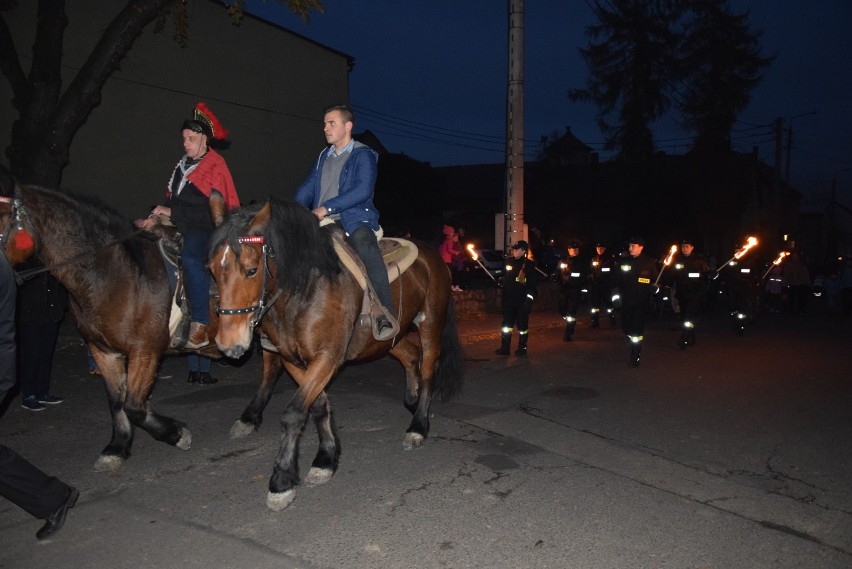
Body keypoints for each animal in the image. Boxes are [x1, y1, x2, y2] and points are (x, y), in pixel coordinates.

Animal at [1, 184, 191, 468]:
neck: (112, 274)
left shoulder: (146, 350)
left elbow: (135, 407)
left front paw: (176, 434)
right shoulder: (103, 351)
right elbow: (117, 401)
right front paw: (117, 446)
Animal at [211, 200, 466, 510]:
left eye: (251, 269)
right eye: (211, 269)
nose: (228, 343)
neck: (304, 291)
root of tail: (432, 254)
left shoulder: (327, 356)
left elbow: (294, 413)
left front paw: (282, 481)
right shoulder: (292, 358)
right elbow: (317, 405)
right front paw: (326, 458)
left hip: (430, 323)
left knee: (428, 367)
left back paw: (418, 425)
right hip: (387, 339)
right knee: (410, 356)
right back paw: (413, 400)